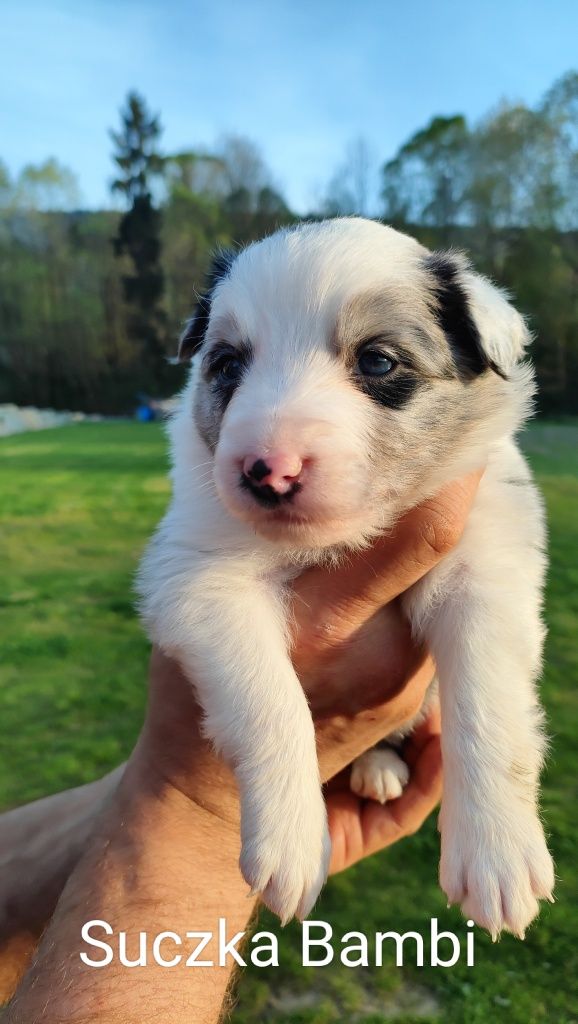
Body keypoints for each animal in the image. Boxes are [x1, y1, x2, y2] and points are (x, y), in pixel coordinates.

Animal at [136, 220, 553, 937]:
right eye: (226, 366)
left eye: (379, 362)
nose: (266, 470)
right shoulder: (200, 575)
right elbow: (269, 701)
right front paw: (292, 843)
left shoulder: (487, 568)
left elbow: (488, 705)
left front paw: (497, 855)